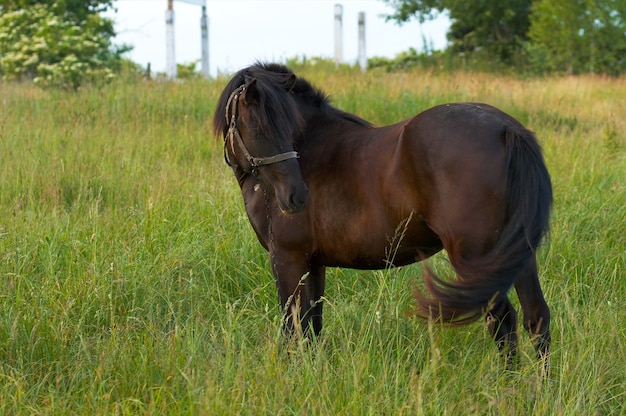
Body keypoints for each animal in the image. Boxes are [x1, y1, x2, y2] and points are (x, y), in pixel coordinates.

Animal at [213, 61, 552, 368]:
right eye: (259, 129)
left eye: (288, 126)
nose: (296, 197)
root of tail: (507, 129)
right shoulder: (314, 262)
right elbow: (312, 325)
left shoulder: (287, 258)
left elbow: (292, 323)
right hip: (517, 255)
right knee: (536, 317)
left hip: (478, 259)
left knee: (502, 321)